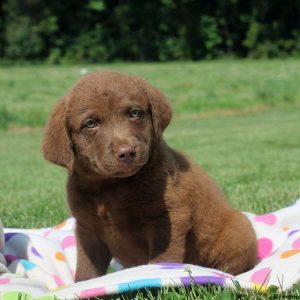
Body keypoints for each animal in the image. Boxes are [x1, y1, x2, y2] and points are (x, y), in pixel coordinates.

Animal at [42, 70, 258, 282]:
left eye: (134, 113)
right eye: (90, 124)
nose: (127, 152)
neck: (111, 187)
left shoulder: (168, 218)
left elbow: (162, 259)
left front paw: (155, 275)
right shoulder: (87, 229)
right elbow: (87, 270)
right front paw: (82, 285)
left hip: (238, 229)